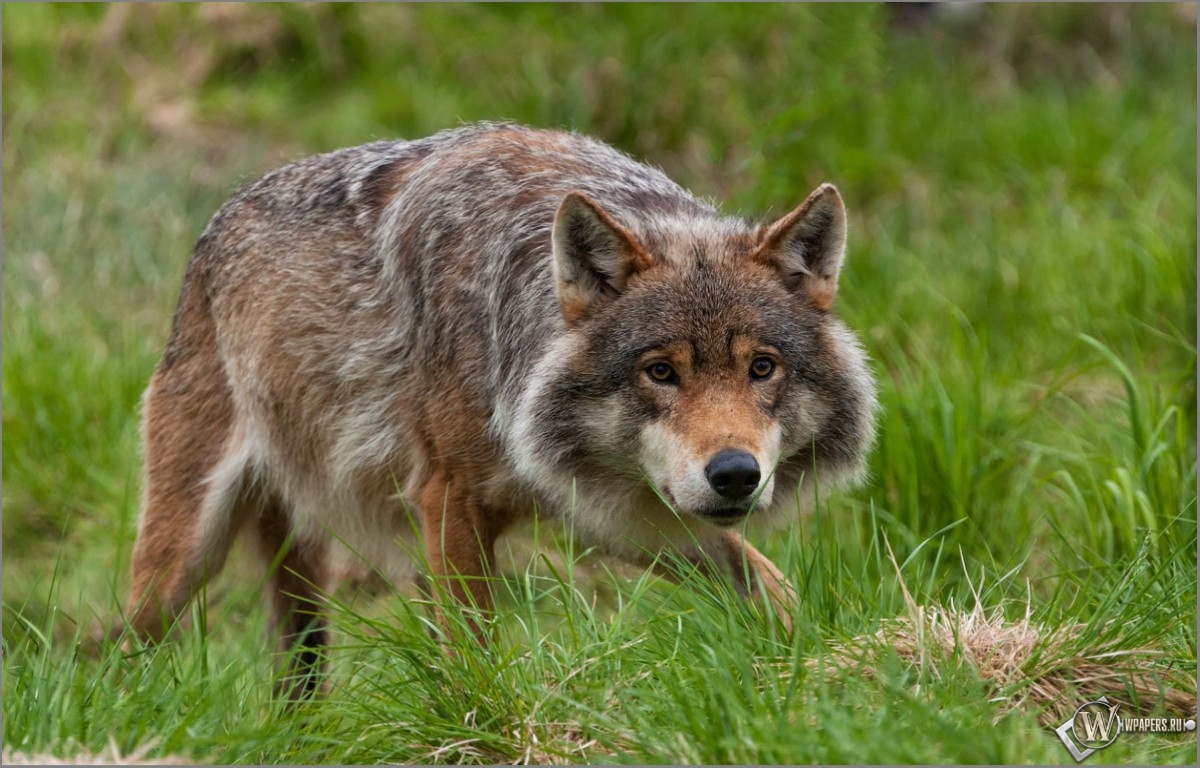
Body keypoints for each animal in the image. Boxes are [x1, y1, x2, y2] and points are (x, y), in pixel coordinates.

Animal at [126, 121, 878, 696]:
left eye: (762, 368)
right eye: (661, 372)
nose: (734, 474)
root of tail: (220, 218)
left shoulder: (618, 513)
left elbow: (776, 590)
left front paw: (825, 669)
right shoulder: (450, 498)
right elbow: (473, 657)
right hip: (186, 552)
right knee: (133, 647)